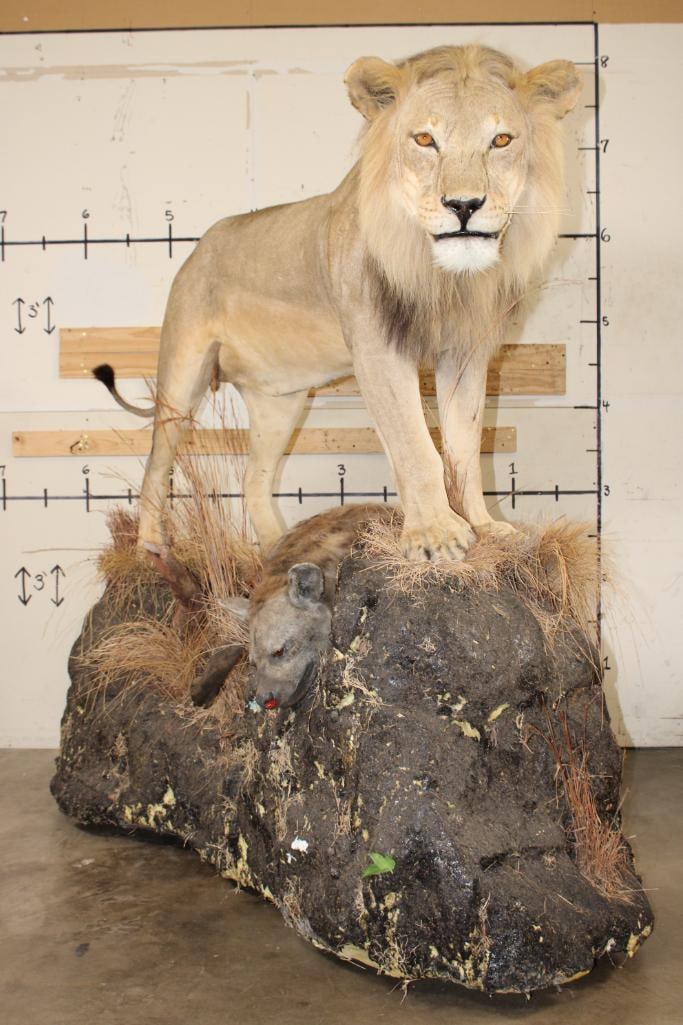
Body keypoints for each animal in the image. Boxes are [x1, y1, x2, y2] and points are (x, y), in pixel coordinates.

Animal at [95, 45, 580, 562]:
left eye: (501, 140)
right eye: (425, 140)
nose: (465, 205)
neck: (440, 275)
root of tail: (200, 246)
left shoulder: (464, 354)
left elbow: (465, 449)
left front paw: (485, 527)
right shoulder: (377, 351)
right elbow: (415, 448)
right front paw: (437, 537)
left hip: (279, 402)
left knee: (253, 480)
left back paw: (276, 552)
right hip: (181, 376)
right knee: (155, 466)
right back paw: (150, 548)